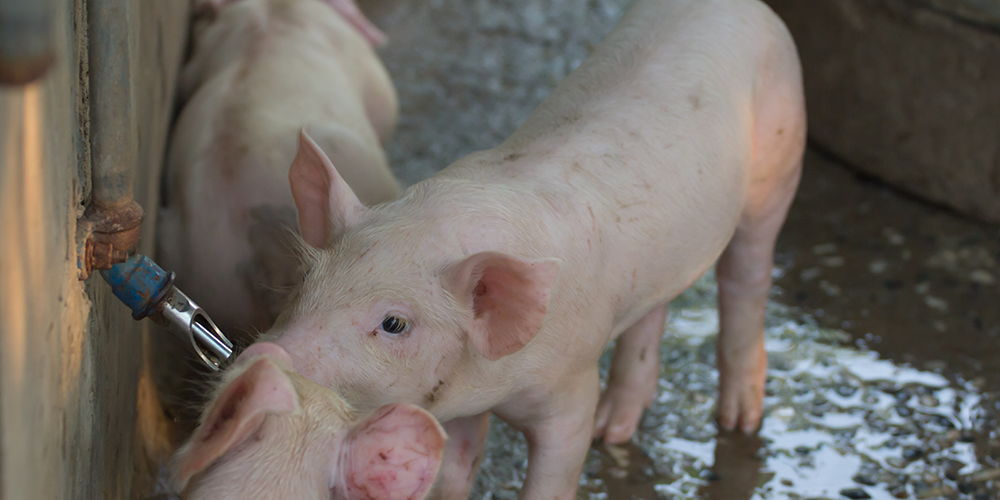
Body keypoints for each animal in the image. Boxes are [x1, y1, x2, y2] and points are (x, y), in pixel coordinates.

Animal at [265, 0, 806, 498]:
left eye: (394, 323)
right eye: (305, 278)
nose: (269, 349)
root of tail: (746, 7)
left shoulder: (573, 383)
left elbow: (559, 460)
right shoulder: (456, 400)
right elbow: (455, 470)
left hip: (778, 165)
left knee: (746, 277)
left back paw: (737, 420)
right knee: (653, 310)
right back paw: (615, 430)